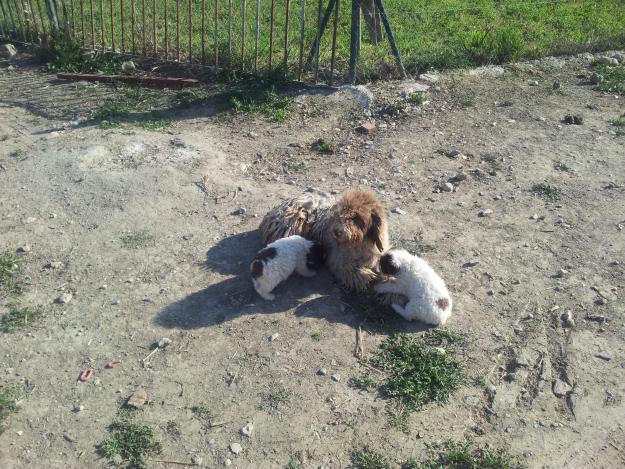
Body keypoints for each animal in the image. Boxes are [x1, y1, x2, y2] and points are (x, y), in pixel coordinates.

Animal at [258, 188, 386, 290]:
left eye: (356, 218)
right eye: (340, 213)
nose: (337, 231)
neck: (358, 246)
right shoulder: (336, 258)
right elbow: (347, 268)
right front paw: (365, 276)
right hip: (296, 222)